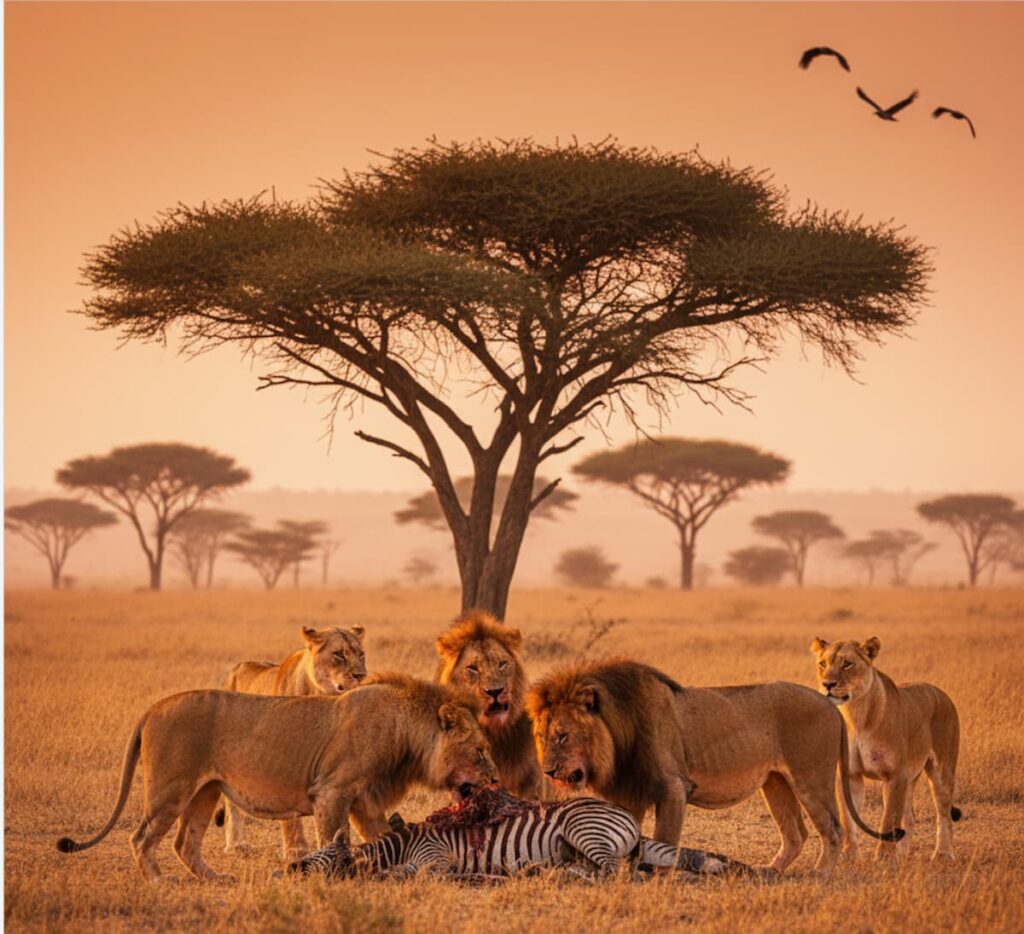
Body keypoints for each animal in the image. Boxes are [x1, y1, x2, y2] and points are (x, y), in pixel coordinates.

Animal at [56, 674, 498, 882]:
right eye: (480, 751)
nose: (496, 782)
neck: (405, 733)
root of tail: (152, 708)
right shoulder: (332, 792)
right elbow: (332, 838)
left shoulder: (366, 802)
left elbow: (382, 838)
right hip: (171, 790)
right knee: (141, 838)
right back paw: (159, 881)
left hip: (206, 792)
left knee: (185, 842)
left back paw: (217, 878)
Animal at [222, 625, 367, 858]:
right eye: (339, 654)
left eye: (360, 654)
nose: (361, 675)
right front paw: (296, 850)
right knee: (231, 806)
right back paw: (236, 845)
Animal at [527, 658, 901, 875]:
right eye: (541, 737)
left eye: (562, 736)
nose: (548, 772)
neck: (618, 736)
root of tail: (830, 705)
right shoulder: (629, 794)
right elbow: (627, 835)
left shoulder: (673, 788)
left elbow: (664, 840)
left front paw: (662, 875)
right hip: (775, 782)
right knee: (796, 834)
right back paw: (770, 872)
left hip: (811, 778)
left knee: (833, 829)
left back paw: (820, 874)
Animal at [811, 636, 961, 860]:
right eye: (822, 664)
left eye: (847, 664)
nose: (827, 684)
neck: (856, 716)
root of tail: (943, 694)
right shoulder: (850, 775)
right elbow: (848, 820)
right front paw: (849, 855)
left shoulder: (894, 775)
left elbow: (888, 818)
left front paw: (884, 857)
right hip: (910, 776)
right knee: (909, 817)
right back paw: (903, 855)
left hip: (941, 769)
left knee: (943, 812)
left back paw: (943, 854)